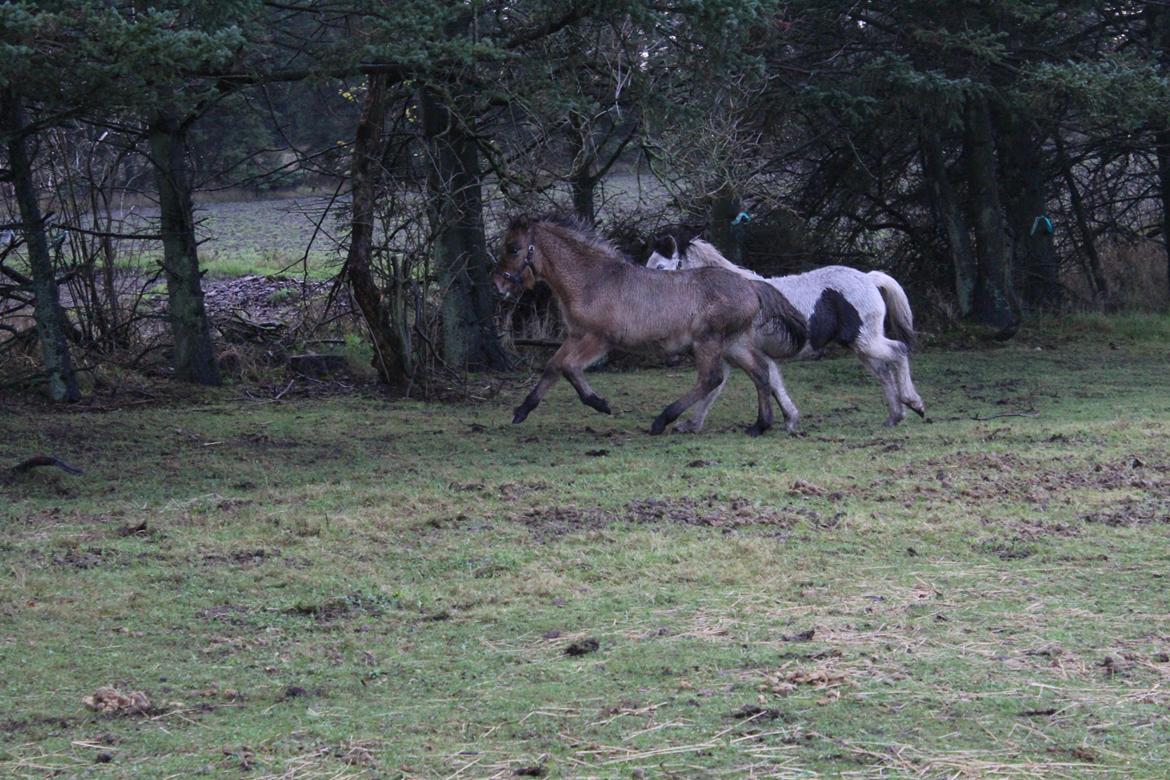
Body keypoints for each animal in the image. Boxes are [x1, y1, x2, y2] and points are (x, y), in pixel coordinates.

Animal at [491, 219, 804, 437]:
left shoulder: (599, 339)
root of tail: (751, 286)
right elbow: (553, 367)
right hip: (733, 344)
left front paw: (599, 403)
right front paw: (522, 411)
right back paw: (760, 425)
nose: (499, 284)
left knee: (711, 378)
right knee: (759, 372)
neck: (592, 280)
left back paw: (662, 420)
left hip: (708, 342)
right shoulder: (576, 335)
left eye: (514, 248)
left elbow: (569, 368)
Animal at [650, 238, 921, 432]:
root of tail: (869, 278)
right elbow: (727, 387)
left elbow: (737, 384)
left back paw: (913, 403)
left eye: (661, 267)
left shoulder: (743, 352)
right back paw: (895, 416)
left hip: (866, 341)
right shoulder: (732, 356)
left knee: (899, 351)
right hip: (861, 345)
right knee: (884, 372)